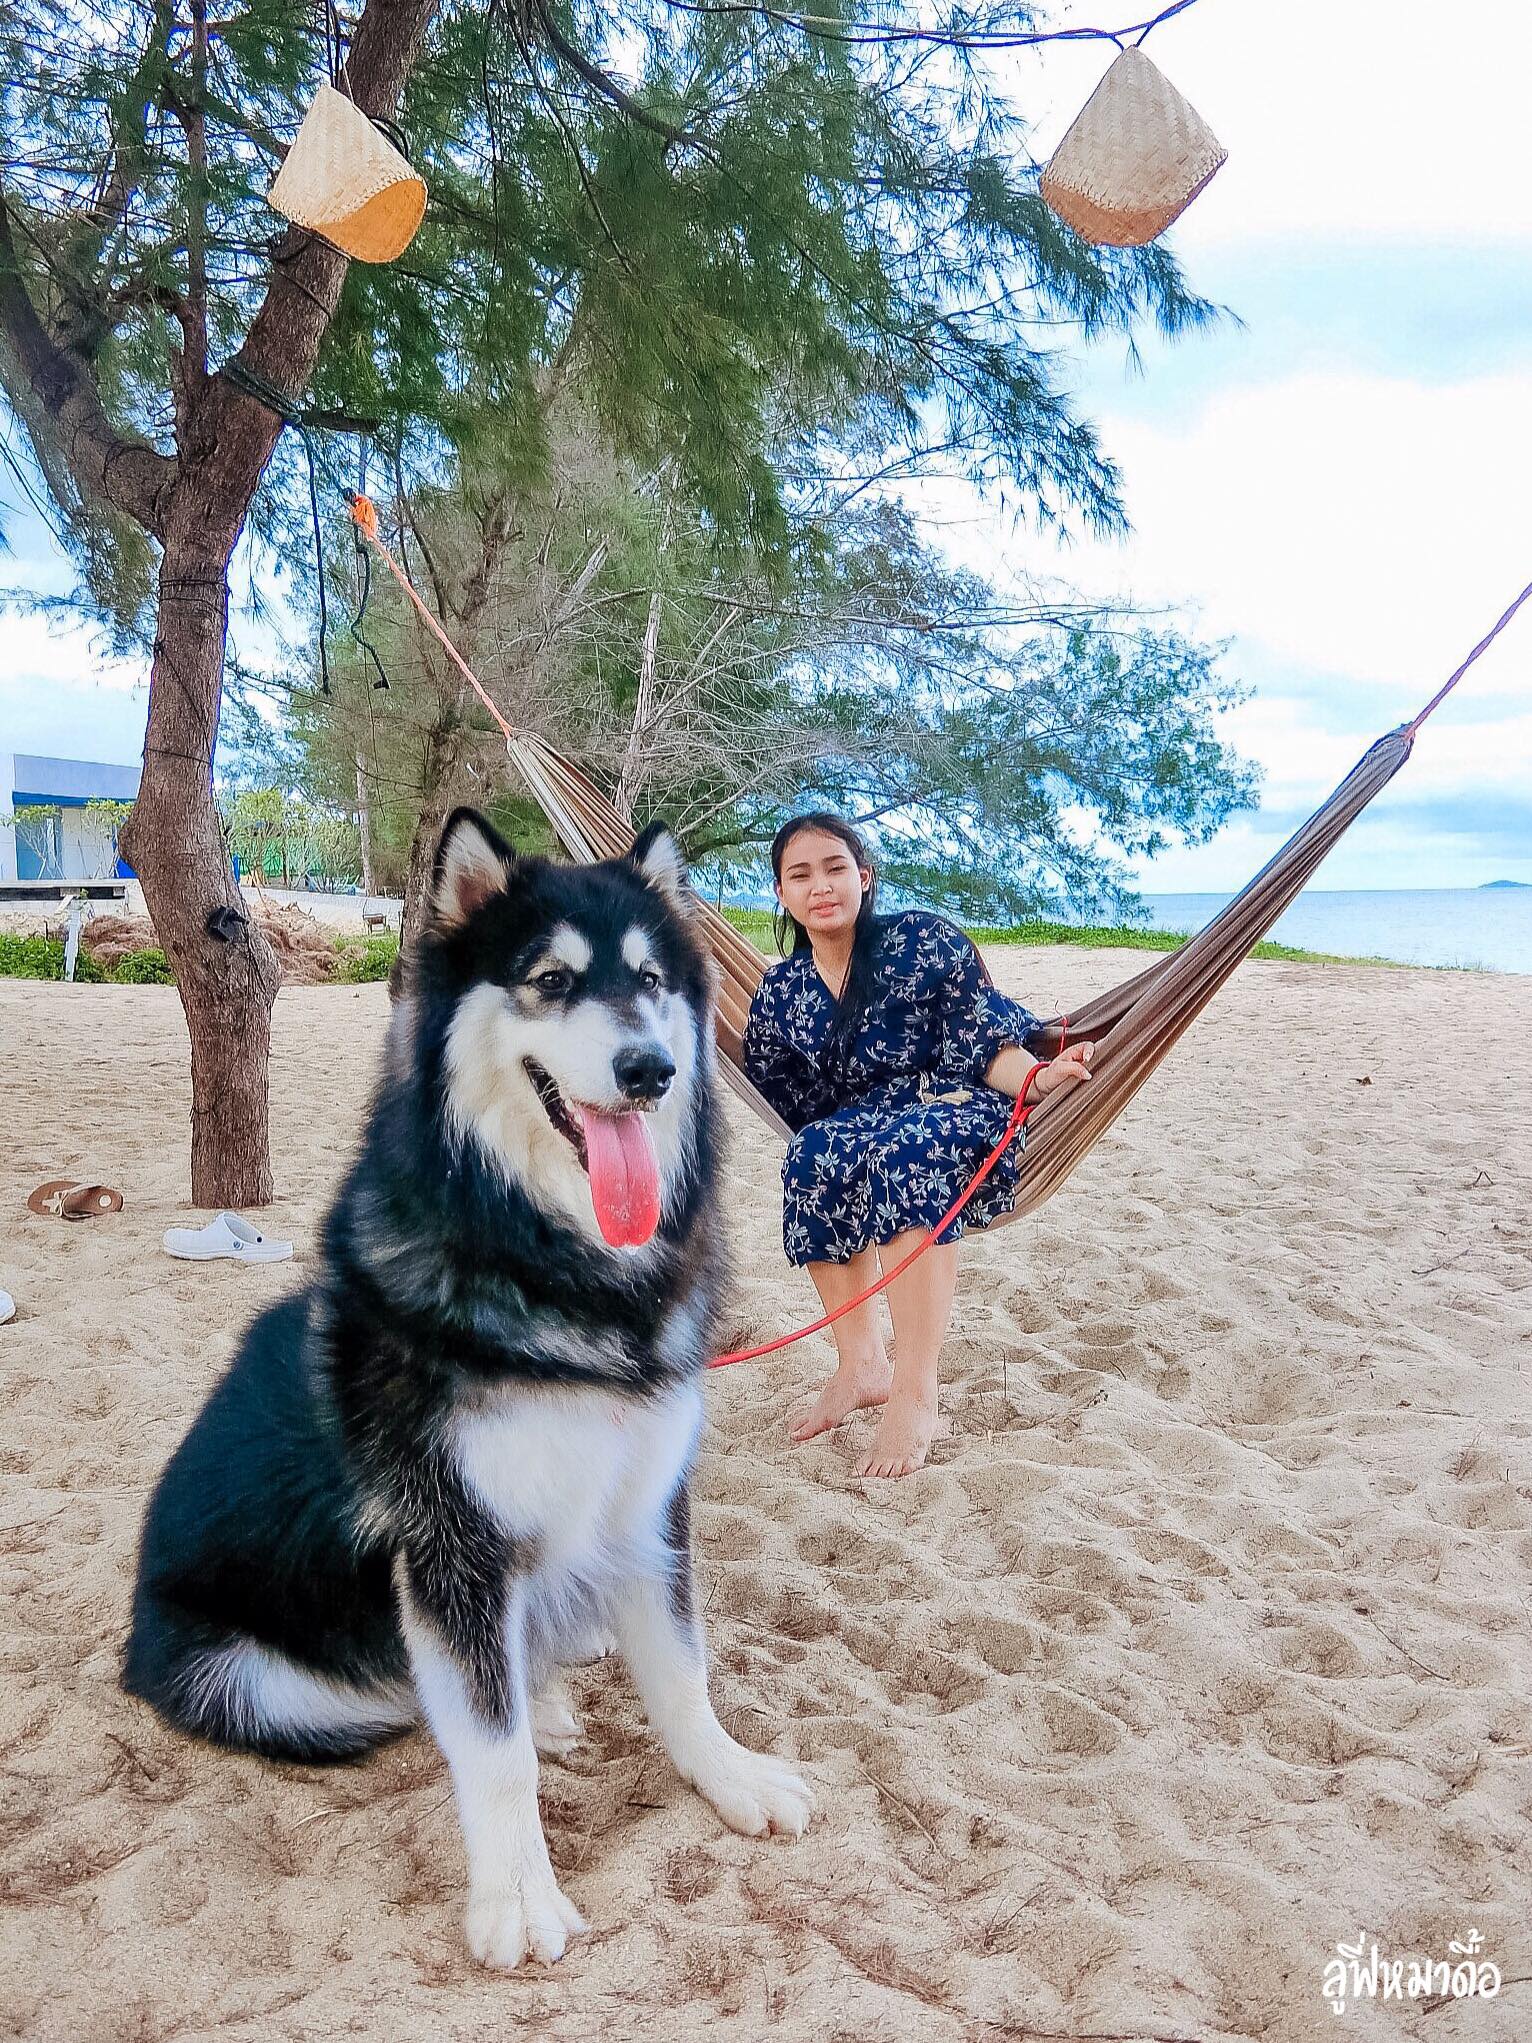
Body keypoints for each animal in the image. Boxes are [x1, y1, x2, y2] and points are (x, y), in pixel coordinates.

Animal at [122, 809, 812, 1968]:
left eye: (651, 980)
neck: (554, 1265)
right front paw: (519, 1897)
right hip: (256, 1681)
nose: (650, 1068)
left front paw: (727, 1773)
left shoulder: (646, 1500)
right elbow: (491, 1746)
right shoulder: (451, 1543)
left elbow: (681, 1666)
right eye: (549, 980)